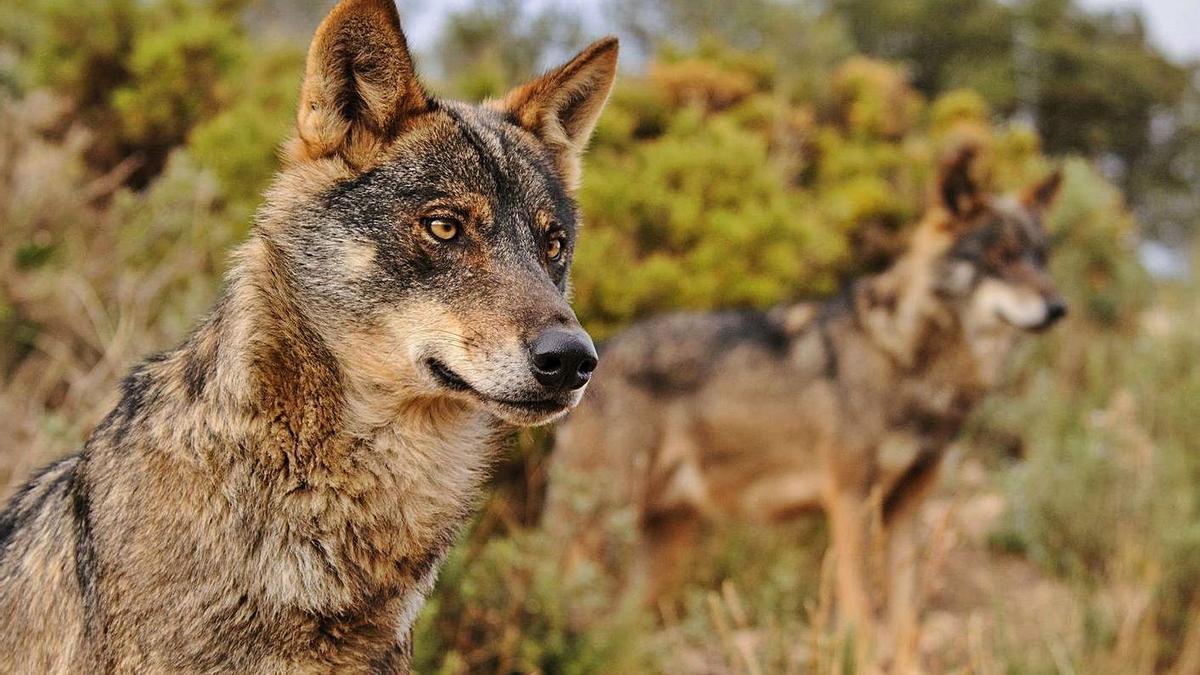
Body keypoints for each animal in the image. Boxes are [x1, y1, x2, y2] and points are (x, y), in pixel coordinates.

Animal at [549, 144, 1065, 662]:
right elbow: (862, 614)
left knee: (619, 630)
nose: (1059, 308)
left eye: (1041, 258)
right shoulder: (851, 501)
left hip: (663, 547)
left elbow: (906, 626)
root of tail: (599, 352)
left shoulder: (906, 511)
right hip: (597, 531)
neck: (904, 357)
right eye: (1001, 257)